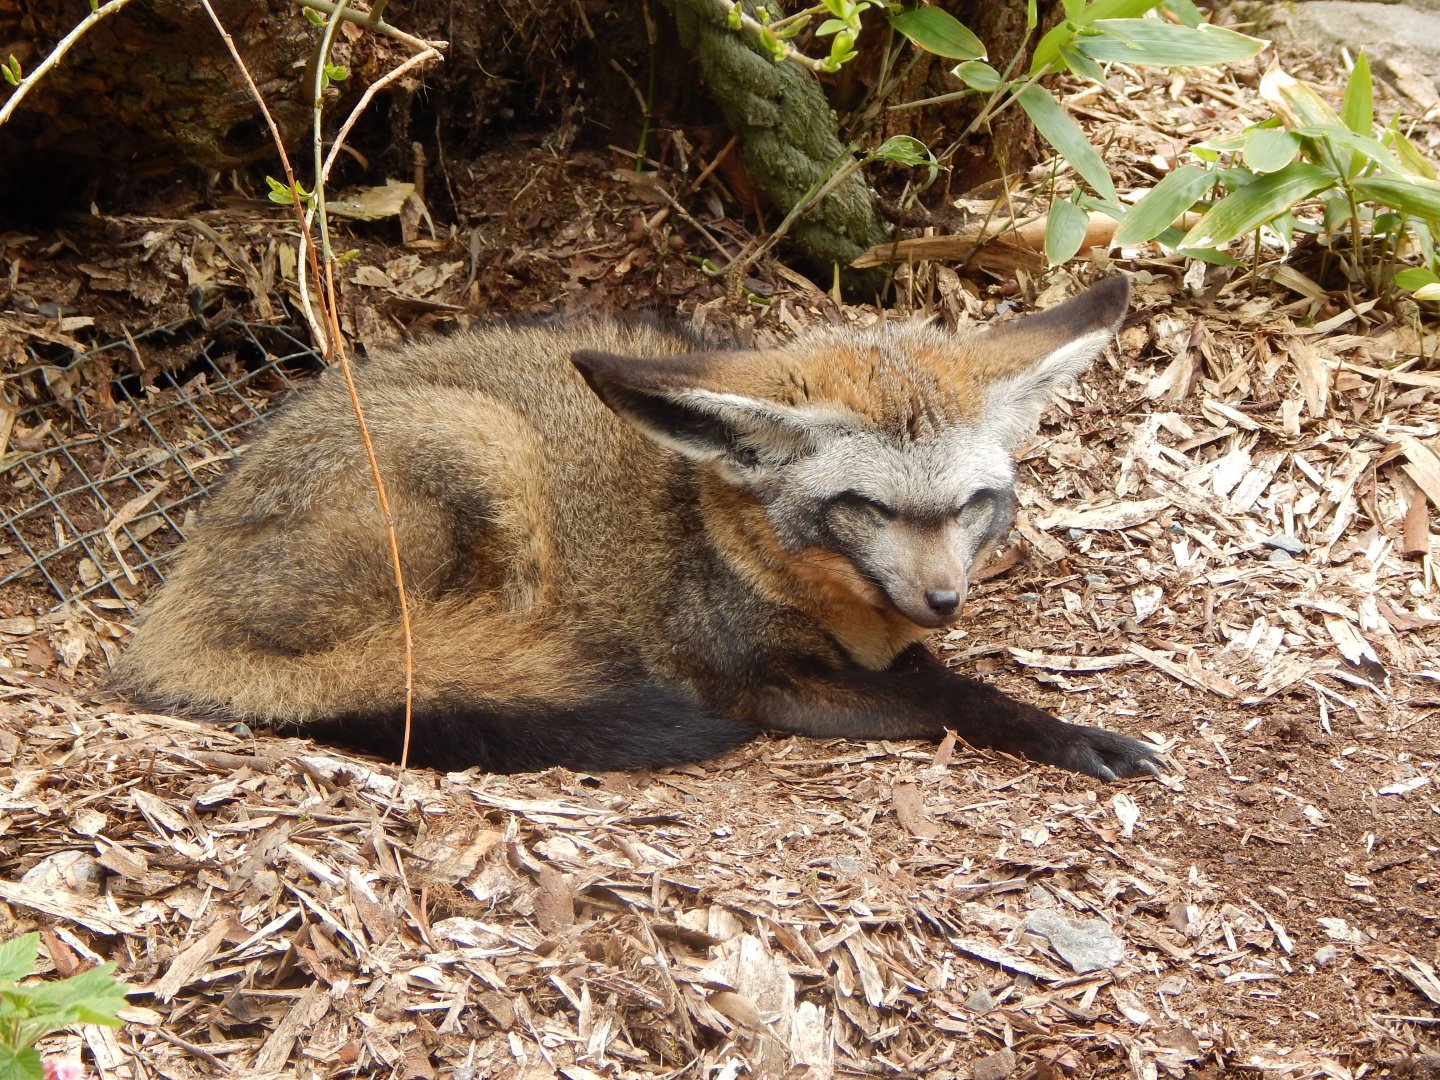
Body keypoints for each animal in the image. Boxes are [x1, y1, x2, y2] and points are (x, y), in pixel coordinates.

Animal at [115, 274, 1160, 781]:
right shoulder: (754, 682)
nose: (944, 600)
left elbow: (931, 674)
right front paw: (1062, 731)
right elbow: (946, 697)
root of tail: (167, 614)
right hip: (484, 446)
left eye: (973, 504)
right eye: (864, 507)